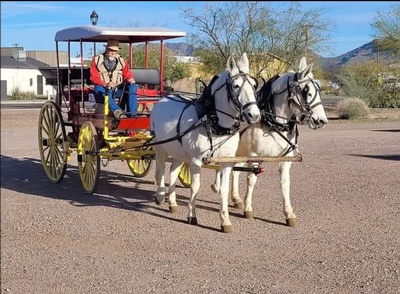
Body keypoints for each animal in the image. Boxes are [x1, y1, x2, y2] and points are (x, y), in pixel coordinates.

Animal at [149, 52, 260, 232]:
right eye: (236, 86)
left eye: (254, 85)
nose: (255, 115)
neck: (214, 122)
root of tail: (163, 99)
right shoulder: (195, 161)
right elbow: (195, 187)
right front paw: (192, 215)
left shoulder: (226, 162)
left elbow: (223, 190)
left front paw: (225, 220)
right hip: (160, 147)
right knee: (160, 169)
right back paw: (160, 195)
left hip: (178, 152)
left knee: (172, 171)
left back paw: (172, 202)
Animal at [212, 58, 328, 227]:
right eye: (305, 90)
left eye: (318, 89)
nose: (322, 120)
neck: (272, 121)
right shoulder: (254, 155)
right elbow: (251, 180)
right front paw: (248, 208)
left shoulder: (286, 159)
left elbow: (285, 183)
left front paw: (289, 213)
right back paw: (218, 186)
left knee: (235, 171)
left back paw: (236, 198)